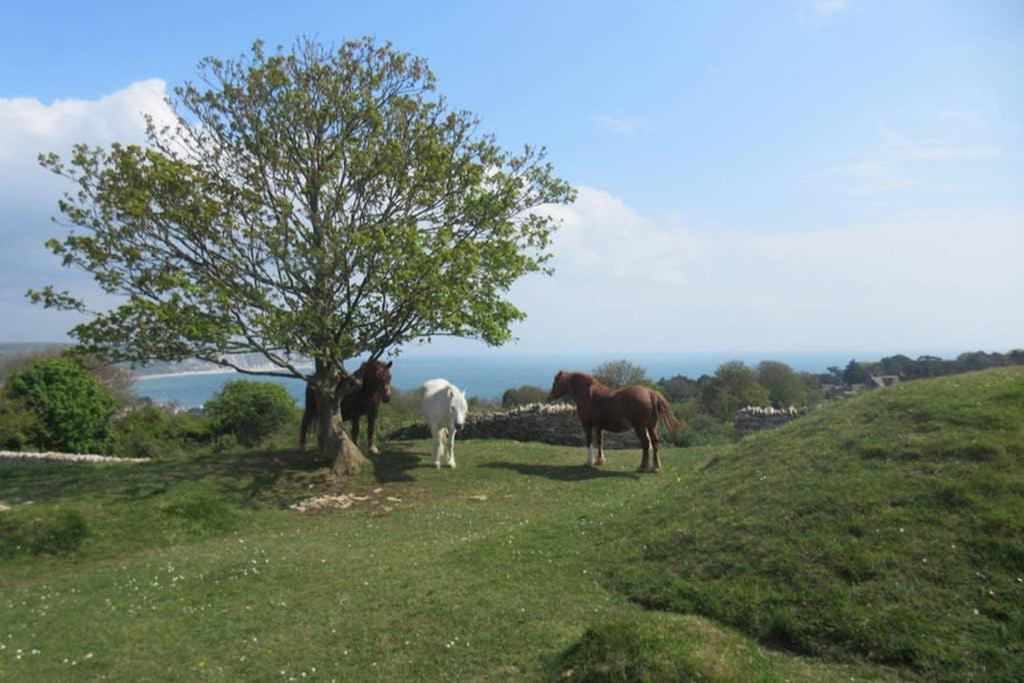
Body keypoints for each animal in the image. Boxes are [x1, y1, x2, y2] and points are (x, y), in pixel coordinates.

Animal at [544, 370, 679, 473]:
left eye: (555, 383)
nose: (549, 397)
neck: (588, 395)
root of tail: (651, 393)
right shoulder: (598, 426)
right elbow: (600, 442)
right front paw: (599, 460)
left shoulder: (587, 425)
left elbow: (589, 442)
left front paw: (588, 462)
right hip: (651, 426)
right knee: (655, 442)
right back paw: (655, 467)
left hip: (640, 427)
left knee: (646, 444)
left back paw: (642, 467)